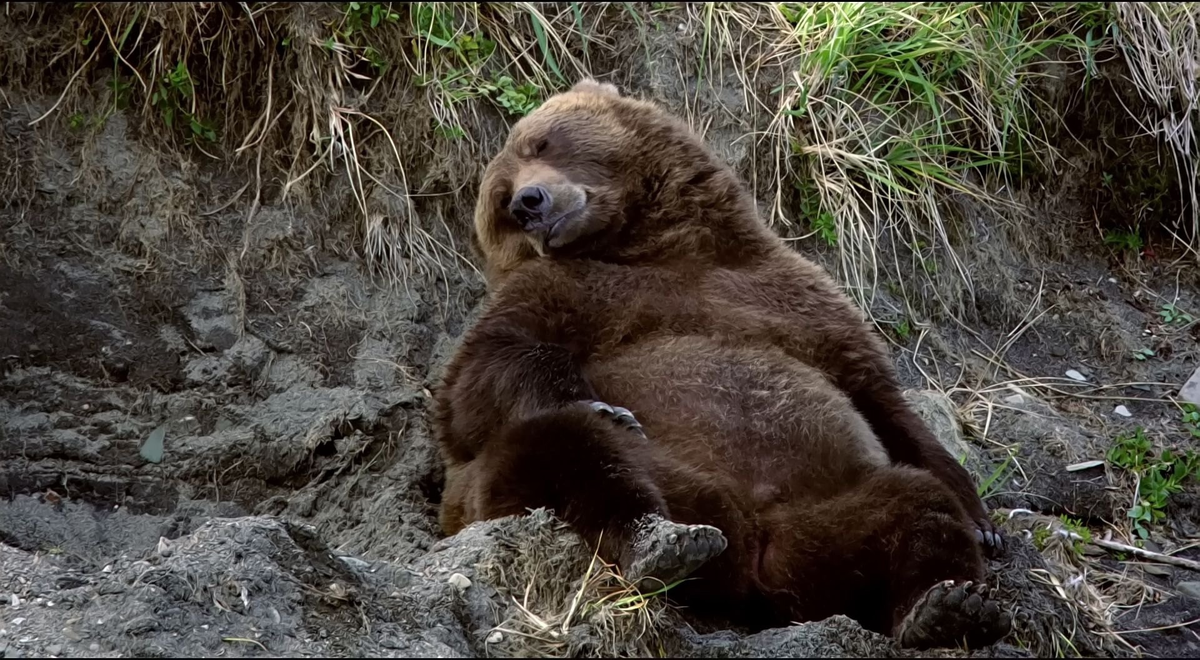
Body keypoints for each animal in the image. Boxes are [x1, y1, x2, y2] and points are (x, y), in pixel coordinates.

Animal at [432, 79, 1012, 652]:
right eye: (501, 201)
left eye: (542, 143)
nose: (528, 202)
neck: (657, 246)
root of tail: (753, 549)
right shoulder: (563, 291)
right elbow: (476, 383)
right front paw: (595, 401)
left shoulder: (793, 299)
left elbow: (881, 401)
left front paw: (985, 526)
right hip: (655, 481)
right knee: (565, 442)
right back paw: (663, 542)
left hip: (825, 515)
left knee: (915, 501)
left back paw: (948, 604)